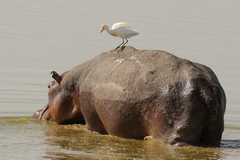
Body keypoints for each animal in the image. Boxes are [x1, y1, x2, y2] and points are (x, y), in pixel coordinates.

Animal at [33, 46, 225, 146]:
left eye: (49, 86)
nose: (36, 112)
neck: (73, 85)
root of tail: (205, 87)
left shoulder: (92, 121)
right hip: (214, 132)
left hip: (176, 131)